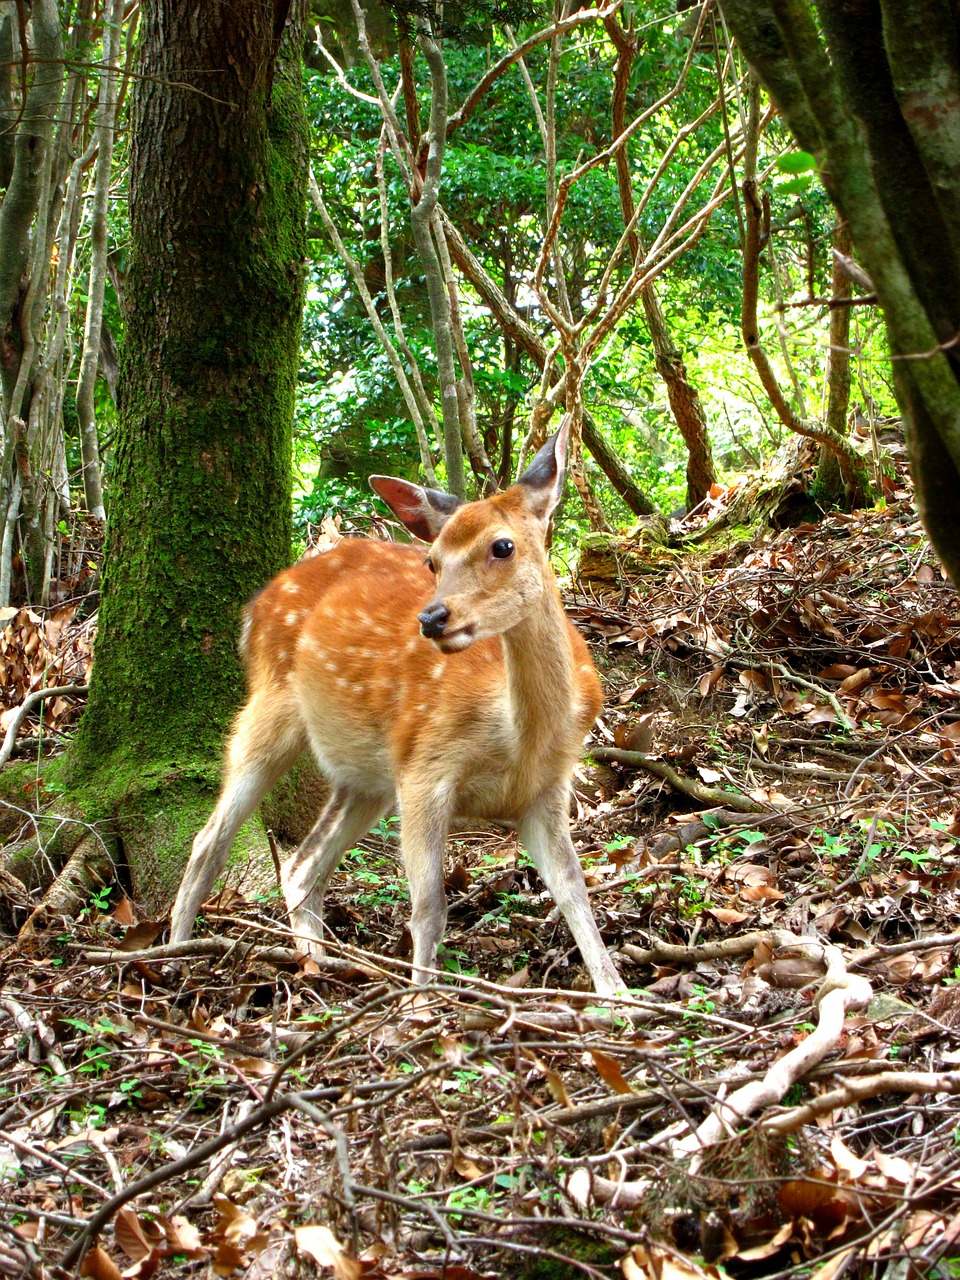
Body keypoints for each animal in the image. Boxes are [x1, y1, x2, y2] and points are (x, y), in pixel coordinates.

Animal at [167, 424, 624, 993]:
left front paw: (618, 995)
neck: (522, 735)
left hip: (367, 775)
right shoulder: (425, 766)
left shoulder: (546, 788)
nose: (432, 617)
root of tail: (255, 606)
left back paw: (318, 964)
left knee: (301, 864)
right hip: (271, 706)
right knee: (210, 839)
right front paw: (419, 1004)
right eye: (433, 560)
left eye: (502, 545)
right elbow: (429, 907)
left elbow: (574, 889)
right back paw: (172, 954)